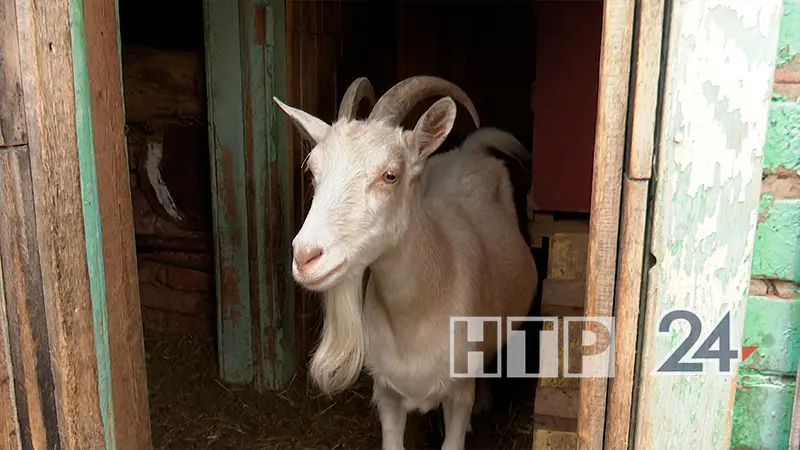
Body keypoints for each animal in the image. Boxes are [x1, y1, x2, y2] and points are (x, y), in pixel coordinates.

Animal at [274, 76, 536, 450]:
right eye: (312, 172)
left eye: (390, 175)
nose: (305, 256)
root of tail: (469, 151)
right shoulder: (387, 394)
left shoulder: (458, 394)